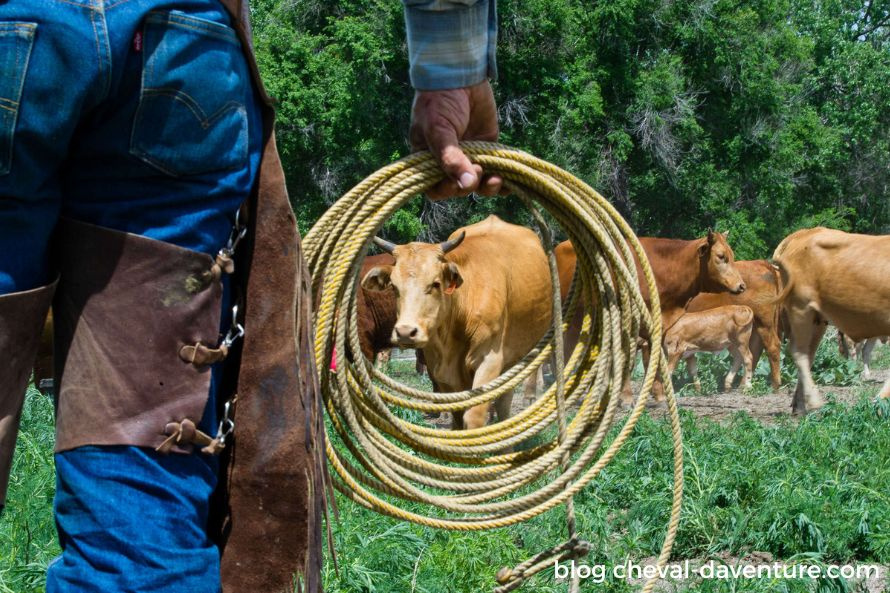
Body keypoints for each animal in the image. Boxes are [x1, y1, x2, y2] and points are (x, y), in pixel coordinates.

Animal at [360, 215, 548, 428]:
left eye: (435, 283)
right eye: (393, 286)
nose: (406, 332)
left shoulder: (489, 360)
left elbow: (474, 415)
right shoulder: (441, 369)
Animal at [684, 262, 780, 390]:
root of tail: (760, 262)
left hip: (763, 321)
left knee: (772, 346)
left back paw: (774, 385)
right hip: (752, 325)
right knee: (754, 350)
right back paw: (742, 384)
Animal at [772, 224, 888, 414]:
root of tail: (803, 233)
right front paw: (880, 401)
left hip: (818, 320)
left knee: (809, 354)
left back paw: (799, 405)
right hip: (801, 309)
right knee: (799, 352)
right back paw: (813, 401)